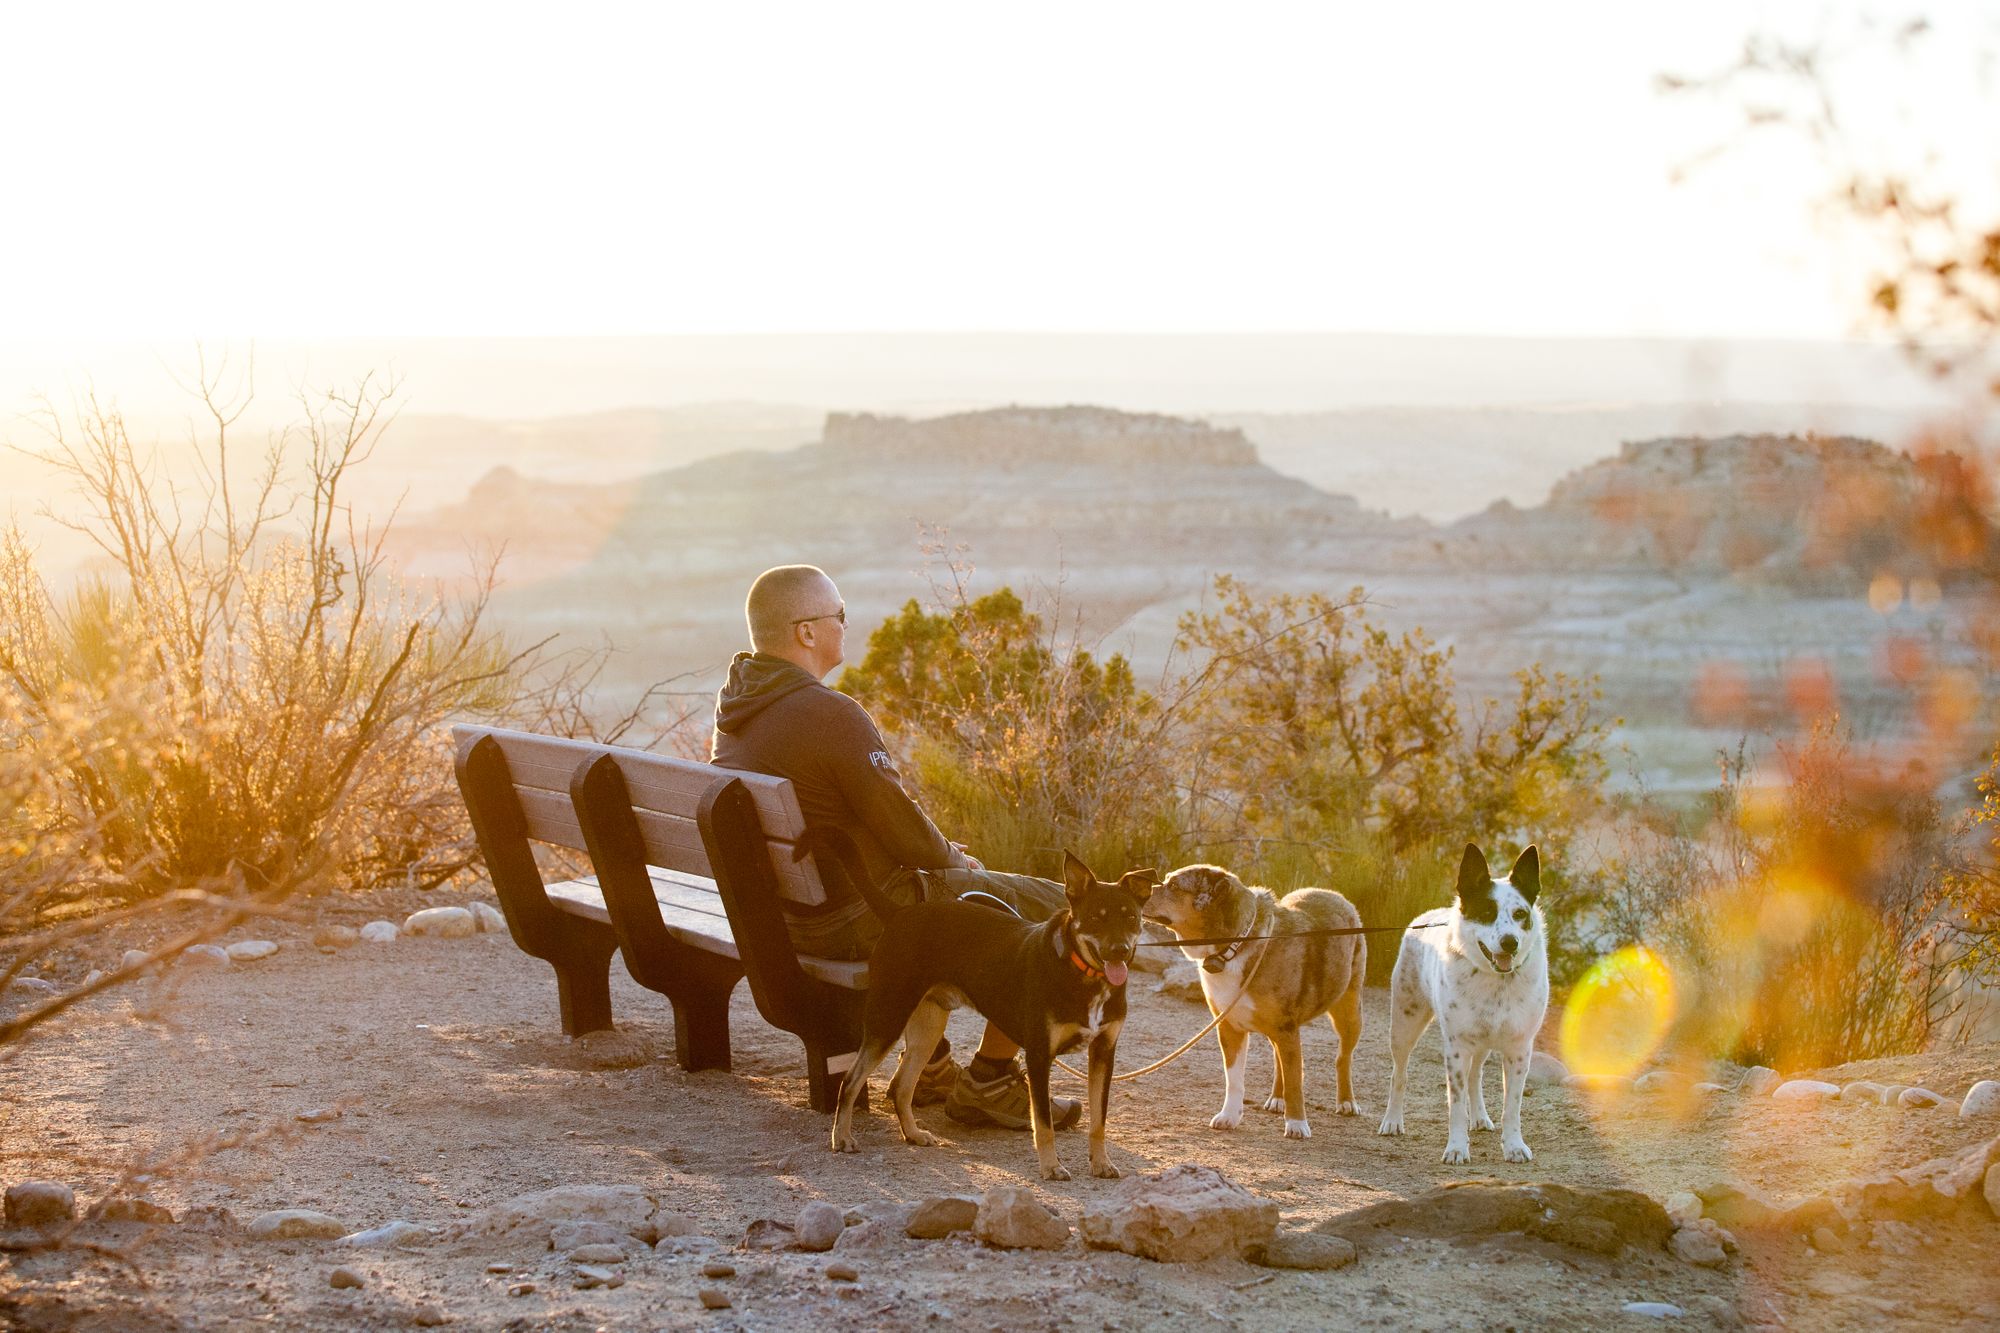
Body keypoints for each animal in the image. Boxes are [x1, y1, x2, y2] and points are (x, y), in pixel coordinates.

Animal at [820, 844, 1152, 1176]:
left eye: (1131, 917)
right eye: (1096, 917)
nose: (1120, 950)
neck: (1082, 972)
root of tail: (899, 912)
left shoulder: (1103, 1053)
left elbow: (1099, 1121)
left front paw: (1101, 1163)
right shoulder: (1039, 1055)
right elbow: (1043, 1123)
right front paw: (1051, 1167)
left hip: (927, 1029)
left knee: (901, 1086)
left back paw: (913, 1134)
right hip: (887, 1018)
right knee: (851, 1080)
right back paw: (842, 1136)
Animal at [1152, 868, 1368, 1136]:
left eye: (1174, 886)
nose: (1144, 889)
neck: (1234, 946)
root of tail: (1337, 896)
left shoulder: (1286, 1027)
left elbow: (1295, 1080)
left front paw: (1297, 1124)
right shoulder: (1230, 1028)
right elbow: (1234, 1079)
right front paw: (1229, 1116)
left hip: (1348, 1011)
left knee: (1342, 1057)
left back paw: (1346, 1101)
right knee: (1279, 1059)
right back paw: (1277, 1098)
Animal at [1384, 844, 1552, 1160]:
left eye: (1520, 913)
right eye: (1486, 912)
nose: (1510, 942)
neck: (1497, 982)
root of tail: (1424, 917)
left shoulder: (1519, 1049)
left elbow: (1512, 1106)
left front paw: (1514, 1145)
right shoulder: (1457, 1048)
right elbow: (1456, 1104)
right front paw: (1457, 1147)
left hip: (1482, 1043)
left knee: (1476, 1076)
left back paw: (1480, 1117)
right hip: (1404, 1026)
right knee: (1399, 1074)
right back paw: (1392, 1120)